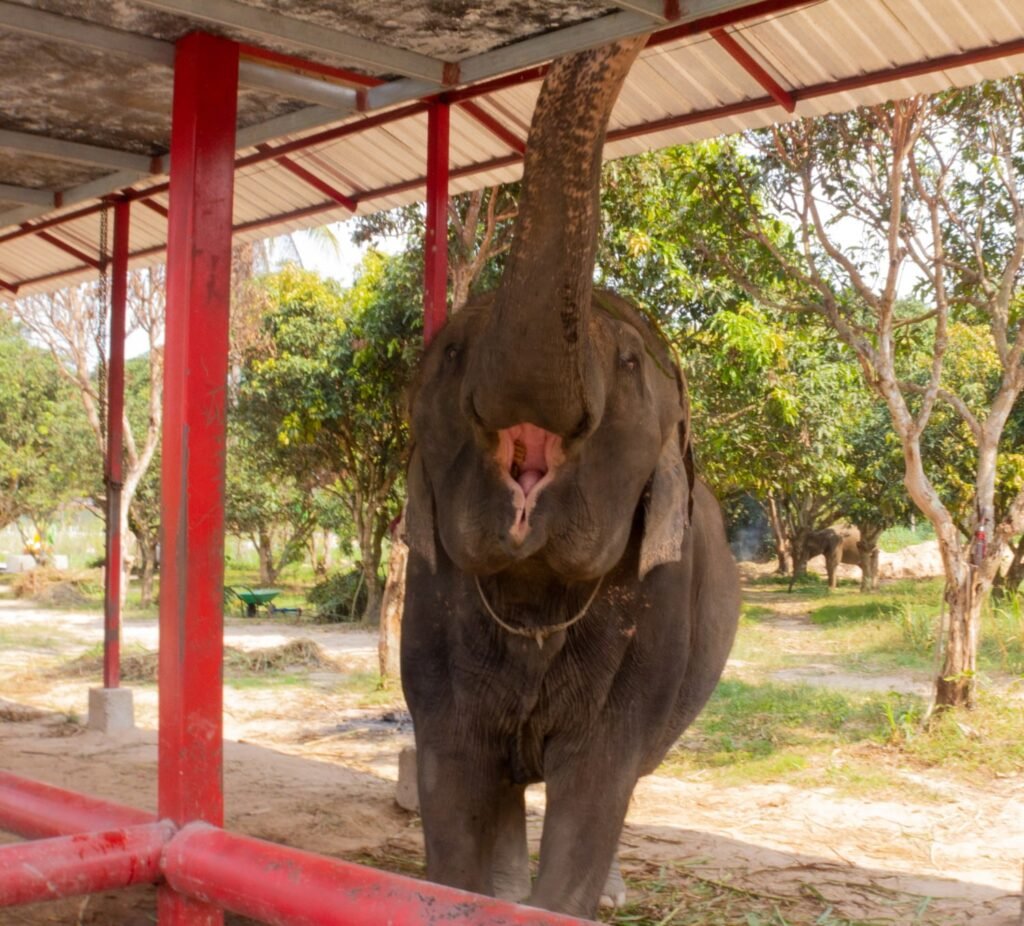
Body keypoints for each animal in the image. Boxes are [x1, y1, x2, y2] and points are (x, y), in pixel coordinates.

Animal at [399, 39, 741, 919]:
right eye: (453, 354)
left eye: (628, 364)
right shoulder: (428, 604)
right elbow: (453, 772)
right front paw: (470, 894)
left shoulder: (657, 613)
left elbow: (595, 782)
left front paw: (559, 900)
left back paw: (613, 893)